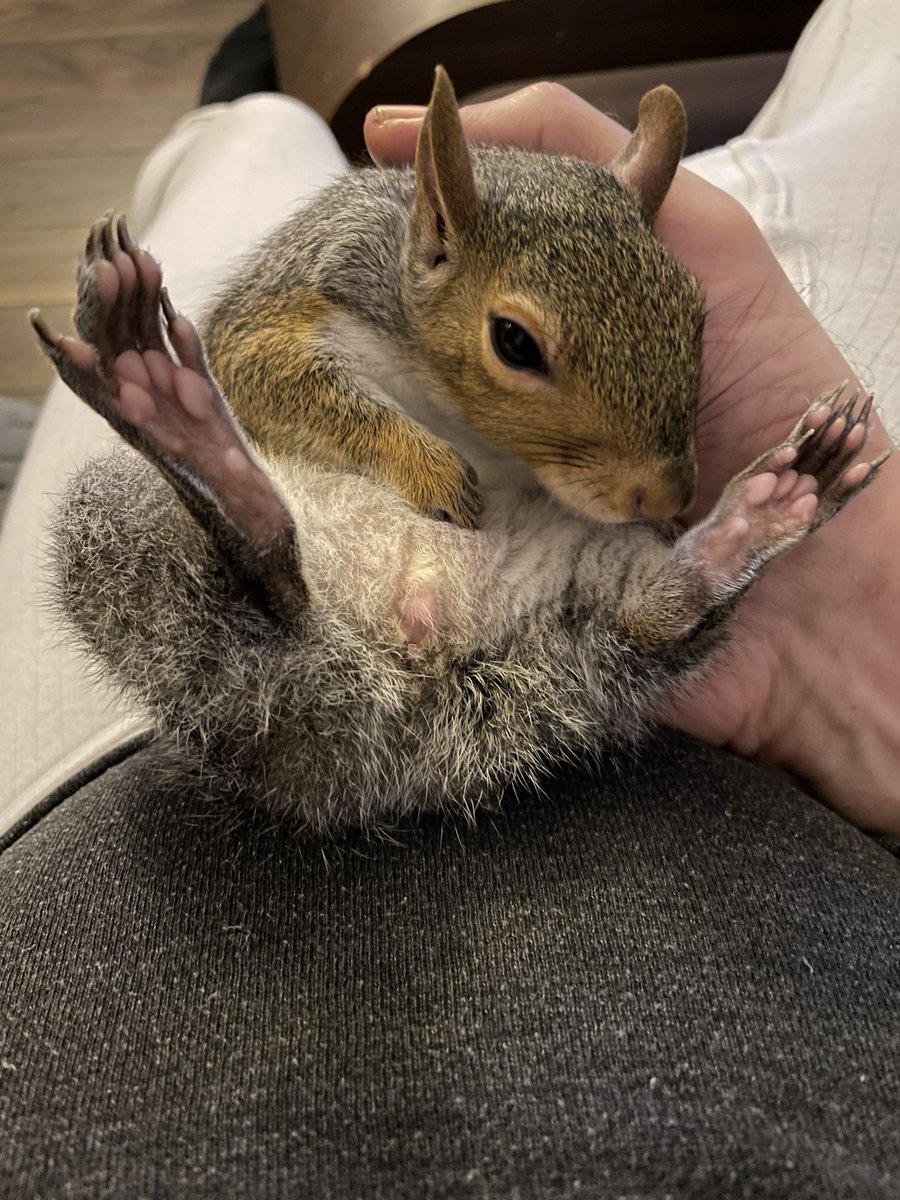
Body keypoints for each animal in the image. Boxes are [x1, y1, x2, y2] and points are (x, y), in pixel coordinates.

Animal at [31, 69, 887, 831]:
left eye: (694, 309)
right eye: (514, 342)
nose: (669, 498)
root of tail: (417, 664)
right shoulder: (283, 312)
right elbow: (292, 390)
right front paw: (432, 469)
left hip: (589, 594)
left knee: (654, 617)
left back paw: (770, 507)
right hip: (127, 530)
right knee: (264, 584)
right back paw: (175, 410)